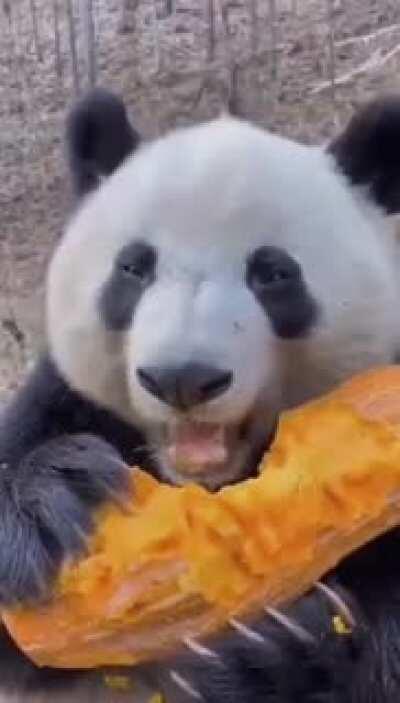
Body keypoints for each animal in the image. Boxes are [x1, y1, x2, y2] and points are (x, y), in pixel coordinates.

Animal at [1, 88, 400, 703]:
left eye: (273, 274)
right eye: (133, 267)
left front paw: (280, 657)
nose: (182, 377)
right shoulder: (64, 400)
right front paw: (53, 500)